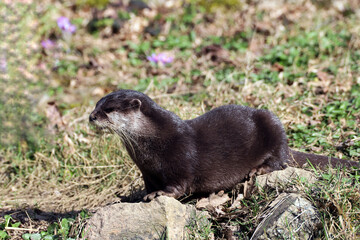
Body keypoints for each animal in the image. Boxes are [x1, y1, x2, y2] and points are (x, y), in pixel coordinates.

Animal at [88, 89, 358, 201]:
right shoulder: (147, 170)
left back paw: (259, 169)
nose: (91, 116)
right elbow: (149, 184)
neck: (154, 143)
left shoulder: (181, 158)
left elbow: (180, 185)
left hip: (272, 125)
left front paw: (160, 194)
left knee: (280, 160)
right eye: (96, 105)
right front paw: (139, 196)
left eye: (109, 110)